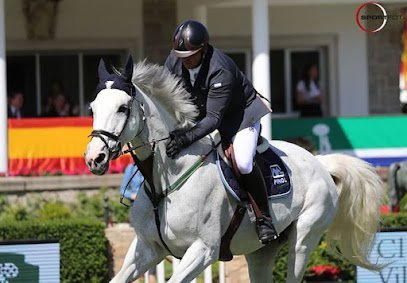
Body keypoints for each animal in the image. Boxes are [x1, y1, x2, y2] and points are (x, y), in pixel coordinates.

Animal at [84, 56, 384, 282]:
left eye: (123, 108)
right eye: (92, 108)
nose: (94, 158)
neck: (165, 181)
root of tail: (319, 162)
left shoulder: (203, 250)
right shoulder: (146, 249)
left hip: (304, 238)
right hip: (261, 252)